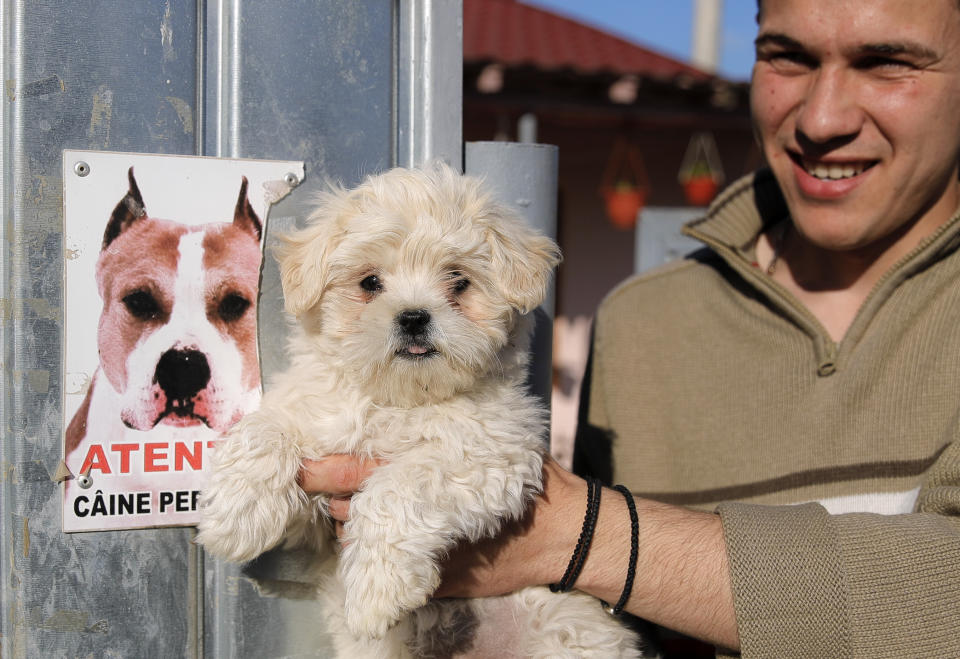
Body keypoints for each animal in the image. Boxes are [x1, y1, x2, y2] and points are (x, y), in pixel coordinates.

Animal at [197, 165, 644, 659]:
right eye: (370, 283)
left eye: (458, 280)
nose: (413, 317)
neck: (401, 400)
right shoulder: (317, 455)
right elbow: (262, 430)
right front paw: (232, 519)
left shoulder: (490, 453)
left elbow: (398, 484)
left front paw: (376, 590)